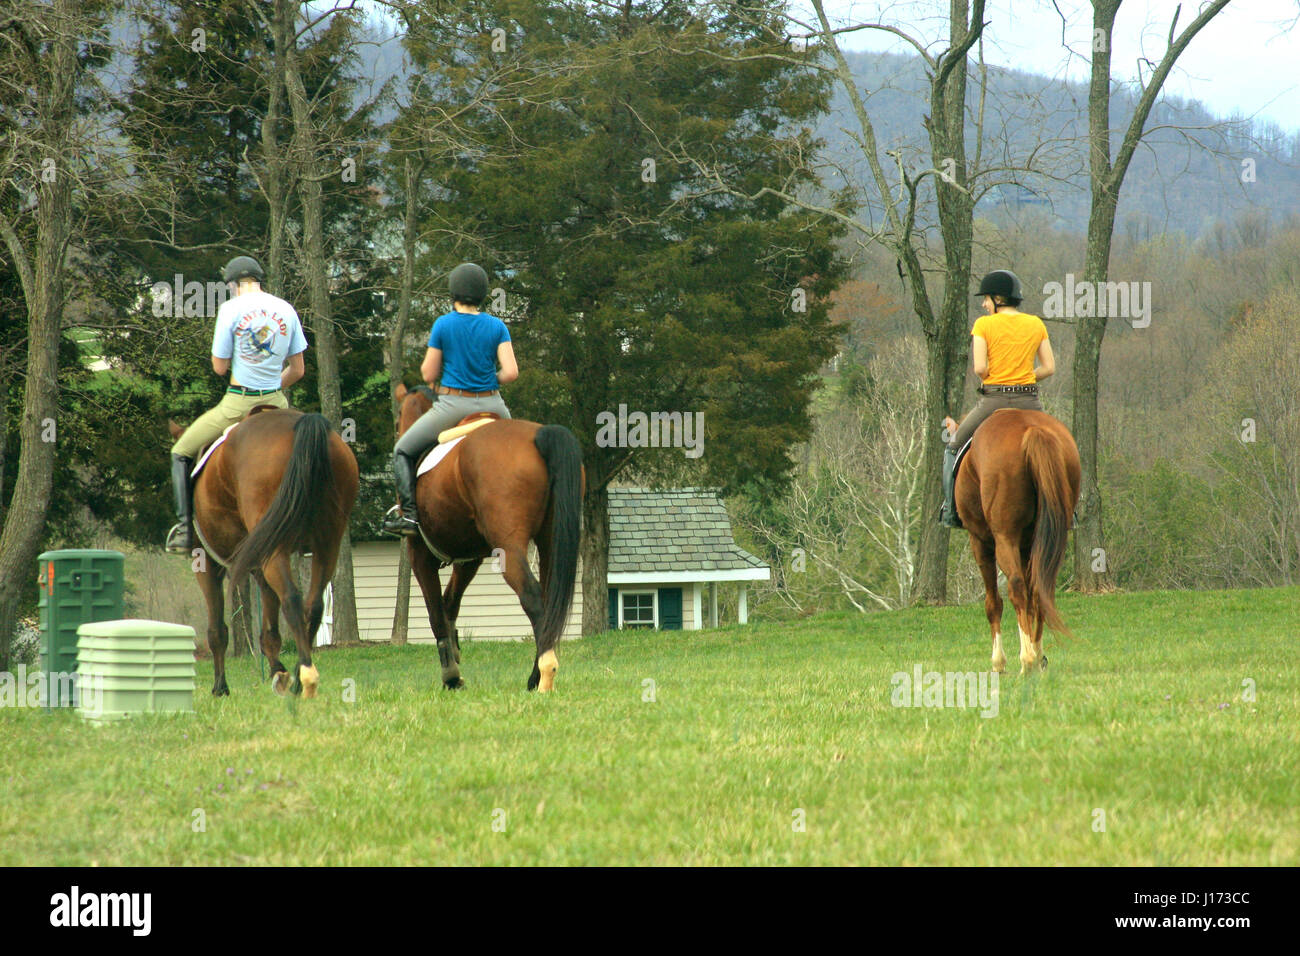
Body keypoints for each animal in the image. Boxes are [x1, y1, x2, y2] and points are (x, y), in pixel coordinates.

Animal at [170, 408, 361, 697]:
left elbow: (217, 630)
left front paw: (220, 687)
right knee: (313, 605)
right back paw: (299, 673)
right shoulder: (259, 566)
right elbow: (270, 629)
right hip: (327, 544)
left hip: (277, 549)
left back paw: (305, 676)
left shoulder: (205, 563)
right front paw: (277, 672)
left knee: (292, 599)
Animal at [390, 385, 585, 691]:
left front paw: (451, 676)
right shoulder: (468, 558)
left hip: (509, 548)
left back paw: (544, 673)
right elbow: (449, 603)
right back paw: (535, 676)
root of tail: (539, 435)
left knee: (533, 598)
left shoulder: (419, 554)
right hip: (549, 541)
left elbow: (436, 614)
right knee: (548, 601)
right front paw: (455, 655)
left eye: (398, 418)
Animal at [951, 408, 1081, 671]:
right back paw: (1037, 656)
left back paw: (1027, 660)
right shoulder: (1027, 545)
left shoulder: (980, 541)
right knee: (1041, 589)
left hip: (1004, 538)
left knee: (1016, 588)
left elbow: (993, 603)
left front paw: (998, 662)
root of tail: (1032, 429)